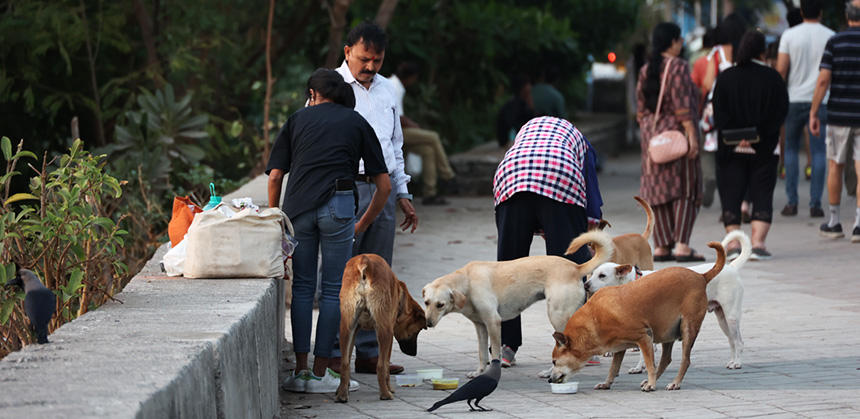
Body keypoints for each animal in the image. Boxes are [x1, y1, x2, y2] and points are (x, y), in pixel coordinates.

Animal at [338, 253, 428, 404]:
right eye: (418, 331)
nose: (414, 353)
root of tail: (364, 260)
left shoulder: (354, 330)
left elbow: (347, 359)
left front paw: (342, 388)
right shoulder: (389, 334)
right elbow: (385, 365)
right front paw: (389, 387)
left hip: (346, 326)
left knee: (344, 363)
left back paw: (342, 395)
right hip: (384, 331)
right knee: (380, 366)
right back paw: (385, 394)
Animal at [422, 231, 612, 378]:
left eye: (440, 304)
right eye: (426, 302)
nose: (428, 323)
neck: (467, 281)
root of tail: (575, 267)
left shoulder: (493, 322)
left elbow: (495, 352)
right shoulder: (480, 326)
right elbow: (482, 353)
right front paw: (478, 372)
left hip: (557, 316)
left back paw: (551, 371)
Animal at [548, 241, 724, 392]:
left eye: (554, 362)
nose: (549, 379)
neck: (595, 317)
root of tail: (701, 277)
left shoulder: (644, 337)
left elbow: (649, 364)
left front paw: (651, 384)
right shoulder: (619, 347)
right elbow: (614, 367)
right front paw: (607, 383)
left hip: (687, 327)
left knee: (685, 360)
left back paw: (674, 382)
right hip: (667, 330)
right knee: (666, 359)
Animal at [584, 230, 744, 370]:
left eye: (602, 276)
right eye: (592, 273)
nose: (585, 285)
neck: (632, 284)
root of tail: (731, 267)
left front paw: (642, 368)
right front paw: (642, 368)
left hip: (730, 317)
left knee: (738, 341)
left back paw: (737, 363)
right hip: (722, 319)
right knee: (733, 341)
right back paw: (733, 360)